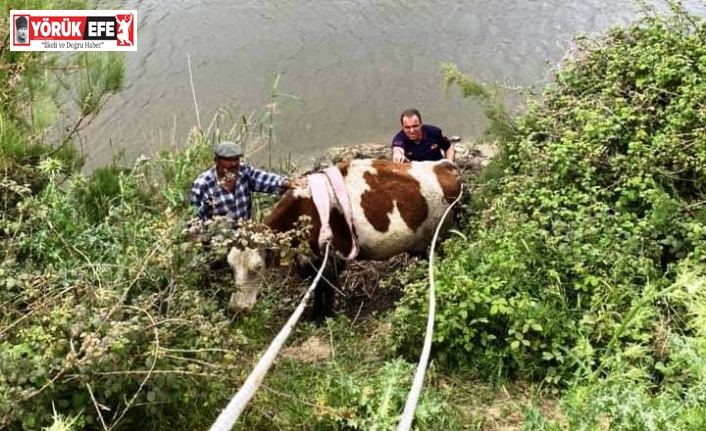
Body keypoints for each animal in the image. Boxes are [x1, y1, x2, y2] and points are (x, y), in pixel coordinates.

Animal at [224, 159, 456, 320]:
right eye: (231, 267)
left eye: (257, 267)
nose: (237, 309)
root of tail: (444, 165)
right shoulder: (312, 258)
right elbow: (316, 287)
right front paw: (314, 315)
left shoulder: (333, 255)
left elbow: (326, 287)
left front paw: (325, 317)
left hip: (443, 234)